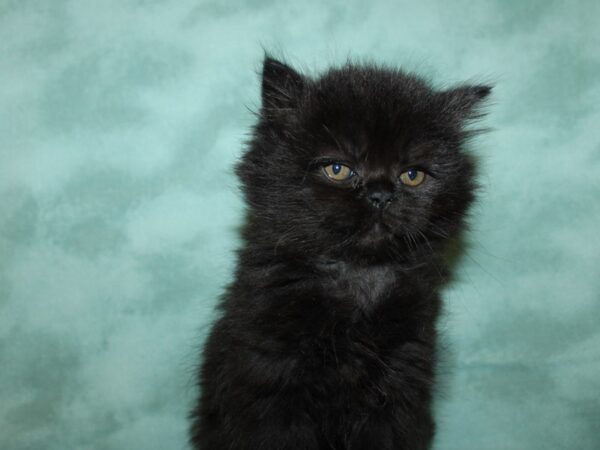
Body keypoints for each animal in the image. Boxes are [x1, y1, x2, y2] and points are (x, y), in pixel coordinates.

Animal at [190, 57, 490, 450]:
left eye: (412, 175)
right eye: (338, 169)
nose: (381, 195)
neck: (357, 276)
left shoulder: (402, 383)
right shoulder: (267, 382)